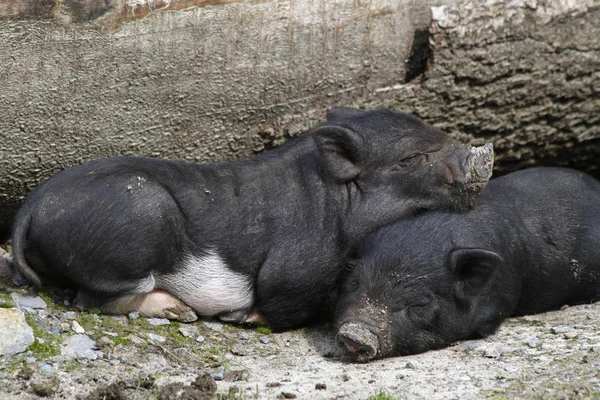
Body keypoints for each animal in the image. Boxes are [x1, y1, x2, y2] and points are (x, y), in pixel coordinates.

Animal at [11, 107, 494, 332]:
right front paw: (244, 318)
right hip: (139, 219)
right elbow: (284, 300)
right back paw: (180, 312)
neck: (336, 203)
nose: (482, 152)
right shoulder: (296, 267)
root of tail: (30, 209)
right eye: (411, 158)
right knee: (94, 299)